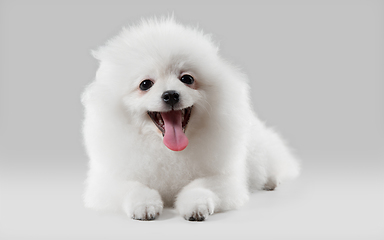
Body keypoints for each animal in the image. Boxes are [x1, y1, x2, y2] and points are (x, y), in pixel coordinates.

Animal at [82, 17, 300, 221]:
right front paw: (144, 205)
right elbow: (133, 187)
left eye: (187, 79)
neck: (168, 151)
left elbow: (200, 185)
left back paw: (271, 181)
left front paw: (196, 205)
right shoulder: (108, 181)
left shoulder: (223, 178)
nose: (170, 95)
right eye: (145, 84)